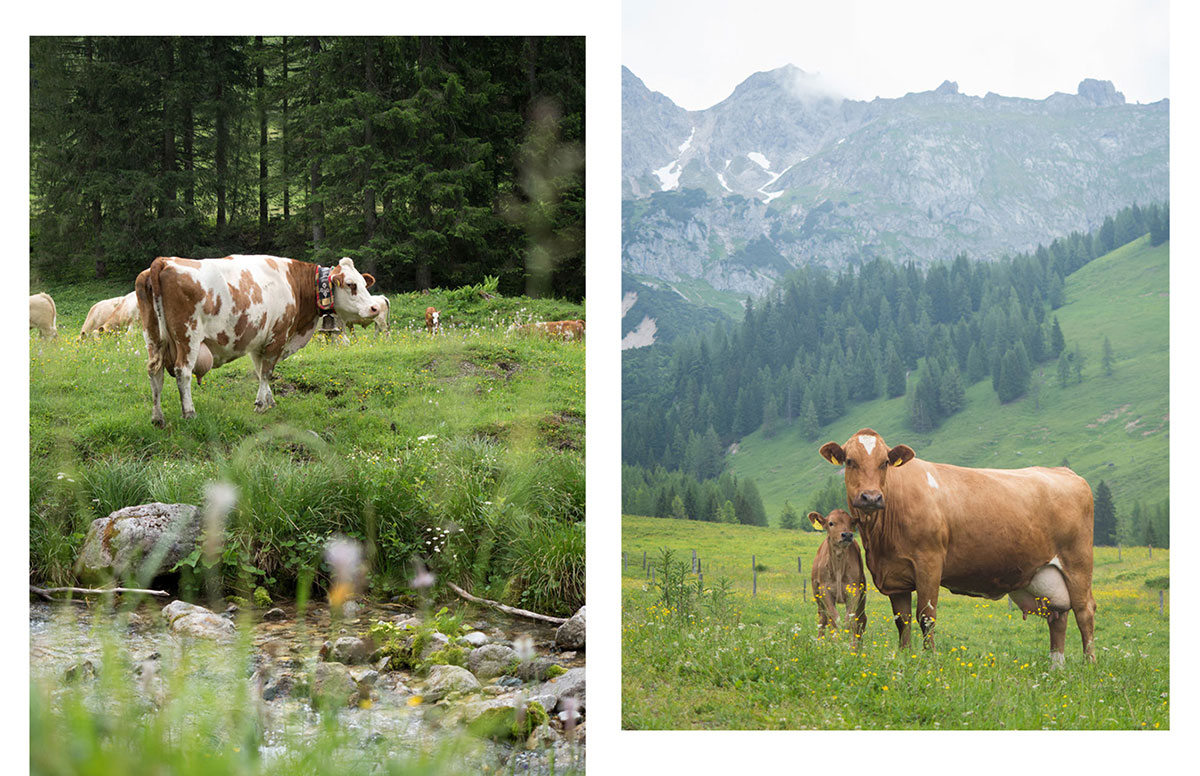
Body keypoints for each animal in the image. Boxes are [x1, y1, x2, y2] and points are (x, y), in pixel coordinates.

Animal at [132, 253, 376, 424]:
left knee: (154, 372)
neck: (293, 282)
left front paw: (270, 401)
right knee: (183, 372)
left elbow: (260, 372)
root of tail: (164, 261)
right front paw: (260, 404)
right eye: (351, 285)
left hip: (153, 338)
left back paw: (158, 417)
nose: (374, 308)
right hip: (188, 337)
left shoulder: (259, 342)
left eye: (365, 284)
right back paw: (189, 412)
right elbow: (267, 372)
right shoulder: (277, 336)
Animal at [806, 510, 864, 642]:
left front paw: (850, 644)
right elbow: (834, 619)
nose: (847, 535)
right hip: (817, 596)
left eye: (851, 522)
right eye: (831, 523)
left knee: (861, 619)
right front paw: (836, 642)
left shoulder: (854, 591)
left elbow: (850, 620)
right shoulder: (824, 591)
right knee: (822, 619)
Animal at [820, 426, 1094, 671]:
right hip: (1046, 575)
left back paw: (1089, 665)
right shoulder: (895, 576)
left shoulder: (929, 564)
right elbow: (902, 620)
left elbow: (926, 616)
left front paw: (929, 660)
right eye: (850, 461)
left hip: (1078, 563)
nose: (872, 497)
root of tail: (1065, 472)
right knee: (1058, 617)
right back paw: (1056, 668)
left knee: (1085, 612)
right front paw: (905, 657)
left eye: (884, 462)